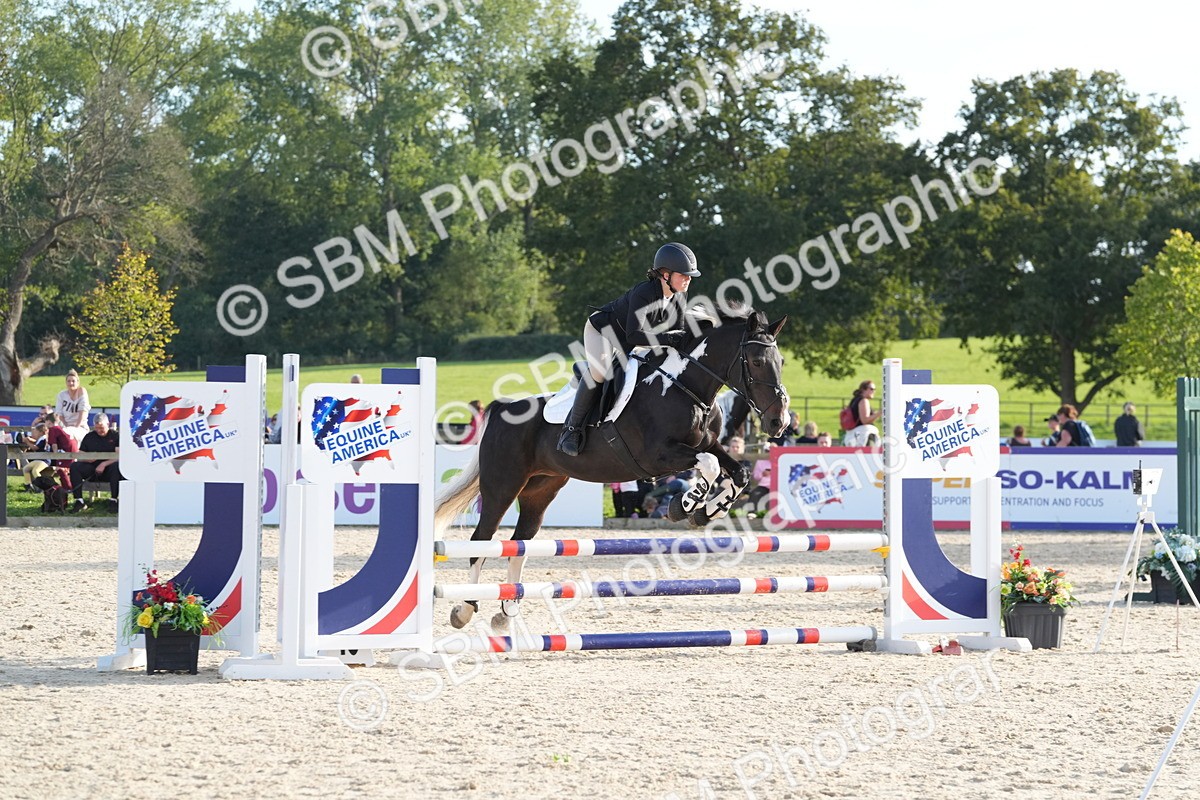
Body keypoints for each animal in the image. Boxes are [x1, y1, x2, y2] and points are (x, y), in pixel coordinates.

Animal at [433, 306, 789, 630]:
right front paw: (683, 505)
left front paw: (707, 511)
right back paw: (465, 608)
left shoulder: (708, 443)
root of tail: (501, 408)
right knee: (482, 540)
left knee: (520, 543)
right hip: (503, 484)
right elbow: (711, 466)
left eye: (781, 362)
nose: (779, 422)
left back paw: (506, 612)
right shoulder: (658, 455)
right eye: (757, 362)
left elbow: (737, 472)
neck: (681, 385)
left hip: (541, 488)